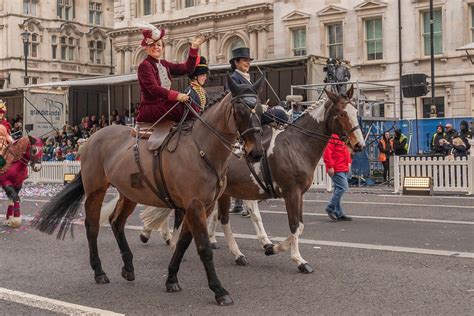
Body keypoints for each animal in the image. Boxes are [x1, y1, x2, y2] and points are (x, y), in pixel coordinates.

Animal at [33, 74, 266, 306]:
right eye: (240, 110)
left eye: (260, 109)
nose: (256, 153)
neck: (201, 150)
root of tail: (92, 138)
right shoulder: (195, 206)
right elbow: (204, 248)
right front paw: (219, 290)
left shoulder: (202, 207)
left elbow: (183, 243)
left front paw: (171, 278)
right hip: (96, 191)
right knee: (92, 226)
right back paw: (99, 271)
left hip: (129, 193)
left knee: (116, 222)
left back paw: (128, 267)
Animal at [139, 87, 364, 274]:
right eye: (342, 114)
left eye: (356, 112)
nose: (359, 145)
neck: (295, 145)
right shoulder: (291, 192)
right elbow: (294, 226)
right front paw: (297, 259)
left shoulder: (297, 194)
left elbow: (296, 225)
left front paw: (272, 247)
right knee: (188, 215)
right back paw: (172, 241)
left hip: (222, 193)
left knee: (220, 219)